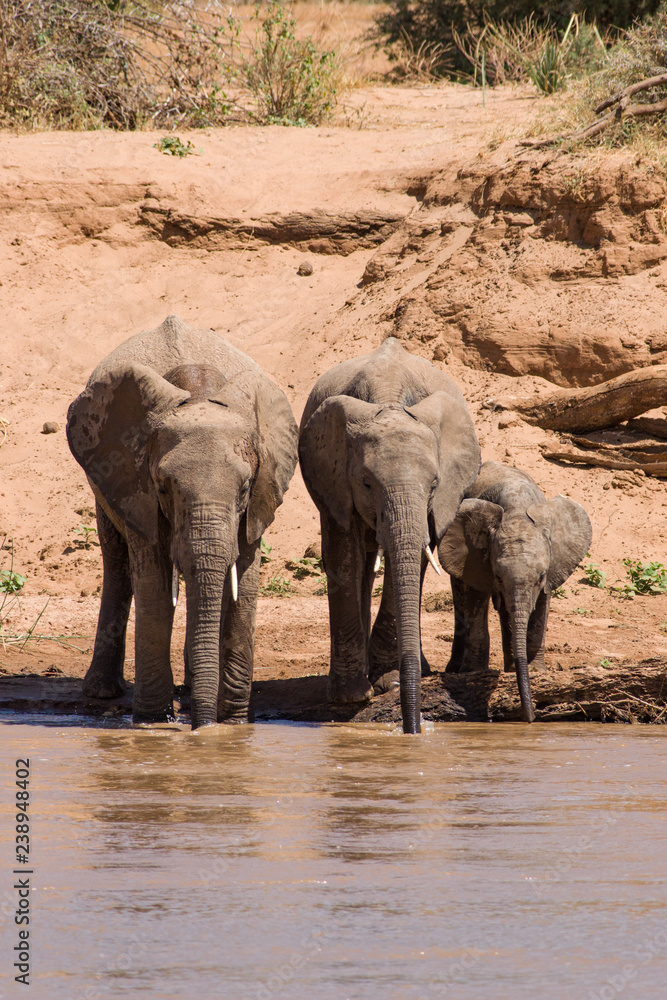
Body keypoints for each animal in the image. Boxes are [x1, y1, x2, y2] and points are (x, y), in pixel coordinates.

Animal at [67, 314, 298, 729]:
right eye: (163, 486)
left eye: (245, 488)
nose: (204, 727)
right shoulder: (137, 487)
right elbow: (154, 584)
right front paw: (154, 721)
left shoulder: (260, 497)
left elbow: (244, 584)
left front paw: (234, 722)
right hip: (105, 485)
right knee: (117, 564)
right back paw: (104, 692)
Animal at [298, 337, 481, 734]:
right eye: (367, 483)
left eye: (434, 484)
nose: (413, 728)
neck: (390, 398)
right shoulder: (334, 481)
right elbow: (342, 558)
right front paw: (351, 696)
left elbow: (414, 560)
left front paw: (391, 682)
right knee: (362, 567)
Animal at [438, 460, 592, 723]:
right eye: (498, 577)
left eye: (540, 577)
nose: (530, 718)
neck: (516, 509)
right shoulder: (475, 556)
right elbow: (474, 598)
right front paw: (474, 674)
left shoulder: (552, 565)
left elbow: (541, 607)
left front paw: (536, 671)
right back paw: (457, 670)